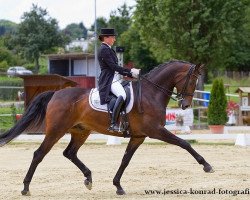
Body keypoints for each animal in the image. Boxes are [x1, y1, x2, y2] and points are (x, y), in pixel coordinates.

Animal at [0, 60, 214, 195]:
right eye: (192, 80)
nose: (185, 105)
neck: (151, 93)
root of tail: (55, 94)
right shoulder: (156, 131)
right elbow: (184, 143)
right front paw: (206, 165)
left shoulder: (138, 136)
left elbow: (125, 160)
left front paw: (118, 186)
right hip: (56, 131)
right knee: (39, 154)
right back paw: (26, 188)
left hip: (81, 131)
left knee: (70, 153)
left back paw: (88, 178)